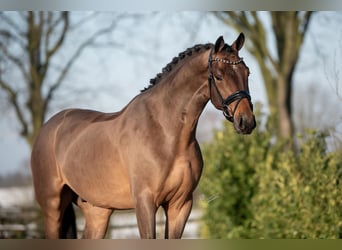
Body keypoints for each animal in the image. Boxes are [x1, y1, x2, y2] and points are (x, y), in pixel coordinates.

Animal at [30, 33, 255, 238]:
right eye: (218, 76)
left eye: (247, 72)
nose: (246, 122)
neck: (166, 133)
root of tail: (49, 128)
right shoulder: (145, 203)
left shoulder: (180, 205)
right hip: (52, 208)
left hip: (97, 210)